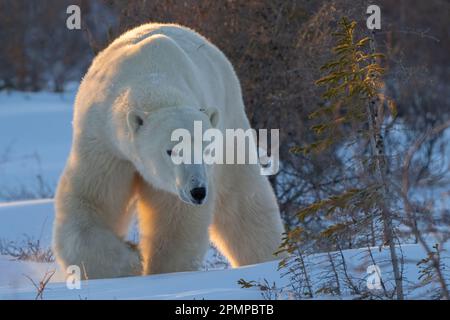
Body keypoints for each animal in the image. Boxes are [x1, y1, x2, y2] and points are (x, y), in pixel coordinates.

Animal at [52, 22, 284, 278]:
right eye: (171, 151)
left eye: (206, 149)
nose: (198, 191)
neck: (153, 79)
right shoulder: (104, 143)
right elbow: (90, 201)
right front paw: (129, 262)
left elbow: (175, 223)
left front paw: (161, 272)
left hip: (231, 119)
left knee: (242, 201)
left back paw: (268, 258)